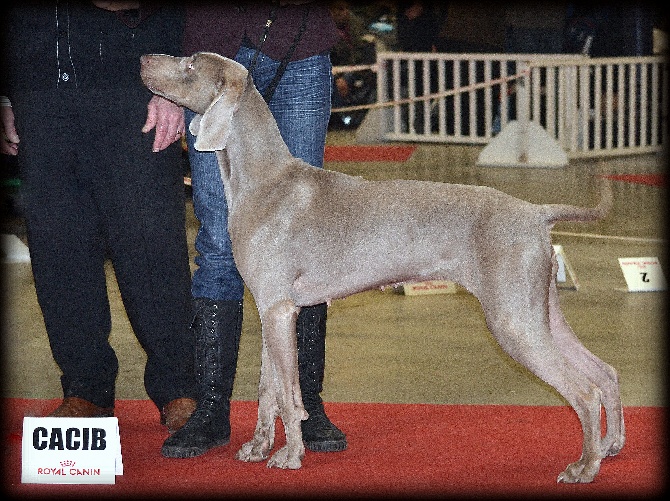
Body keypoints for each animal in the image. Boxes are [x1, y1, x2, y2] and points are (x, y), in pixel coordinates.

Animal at [140, 49, 624, 480]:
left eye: (189, 64)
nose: (143, 59)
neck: (263, 182)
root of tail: (535, 211)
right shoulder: (270, 309)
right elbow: (269, 389)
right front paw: (259, 448)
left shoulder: (278, 309)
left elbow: (290, 394)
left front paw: (290, 456)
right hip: (539, 310)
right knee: (605, 372)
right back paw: (612, 445)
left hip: (513, 319)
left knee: (584, 391)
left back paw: (585, 466)